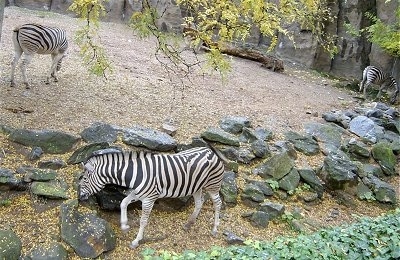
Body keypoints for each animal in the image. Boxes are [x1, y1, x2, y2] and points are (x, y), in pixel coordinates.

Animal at [78, 145, 225, 249]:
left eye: (84, 179)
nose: (80, 197)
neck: (136, 174)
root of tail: (210, 150)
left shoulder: (149, 199)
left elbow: (143, 221)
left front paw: (136, 241)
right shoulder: (138, 193)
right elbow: (123, 203)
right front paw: (124, 225)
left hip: (213, 185)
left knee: (217, 203)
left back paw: (214, 229)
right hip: (196, 186)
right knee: (199, 202)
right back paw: (189, 223)